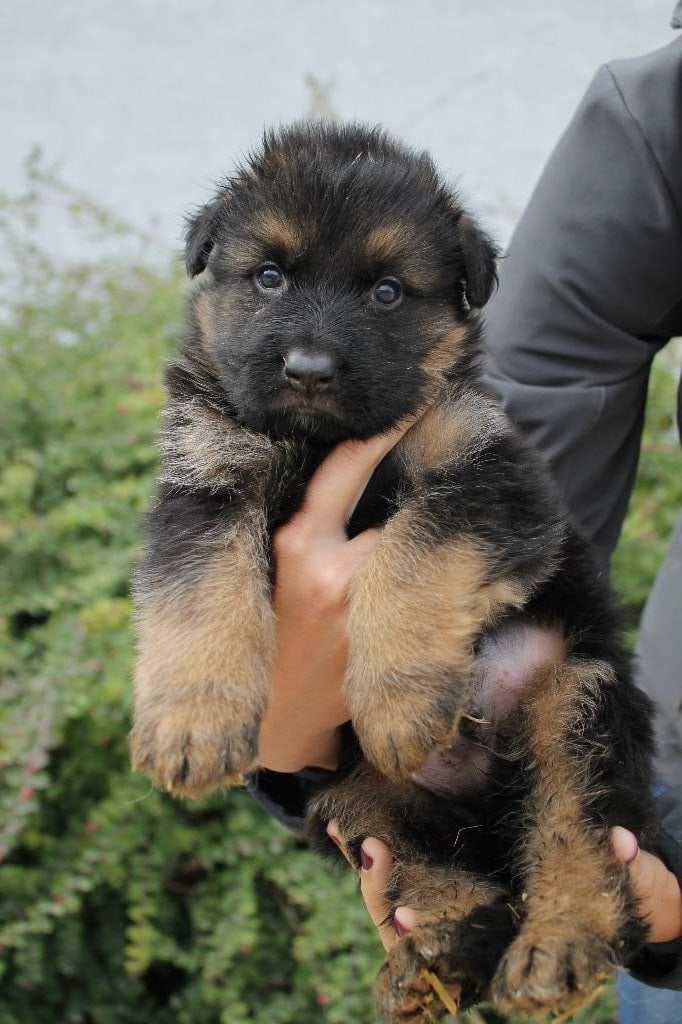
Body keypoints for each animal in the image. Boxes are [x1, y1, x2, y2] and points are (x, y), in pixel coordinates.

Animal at [130, 123, 655, 1019]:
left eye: (385, 292)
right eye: (269, 276)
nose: (308, 370)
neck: (320, 443)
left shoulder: (496, 483)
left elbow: (415, 548)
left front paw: (401, 696)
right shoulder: (206, 478)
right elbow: (197, 588)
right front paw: (190, 724)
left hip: (573, 698)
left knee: (575, 836)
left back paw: (557, 948)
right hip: (360, 796)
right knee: (456, 882)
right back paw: (434, 958)